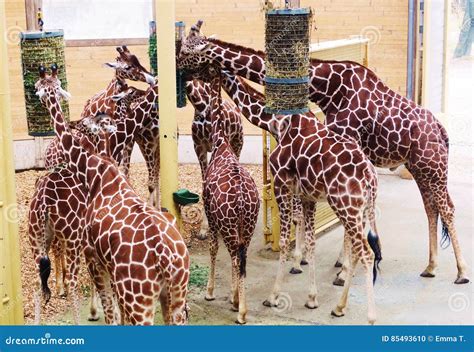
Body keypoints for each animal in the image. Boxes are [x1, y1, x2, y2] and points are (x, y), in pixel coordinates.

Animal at [36, 64, 190, 326]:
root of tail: (167, 259)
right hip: (176, 295)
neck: (94, 172)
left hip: (140, 299)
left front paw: (93, 311)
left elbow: (111, 314)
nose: (74, 122)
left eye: (45, 87)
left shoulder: (94, 258)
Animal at [177, 19, 470, 284]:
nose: (178, 71)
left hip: (433, 166)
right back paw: (430, 266)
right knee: (431, 208)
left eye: (188, 52)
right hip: (418, 167)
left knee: (447, 207)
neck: (327, 88)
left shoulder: (346, 140)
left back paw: (461, 272)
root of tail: (442, 132)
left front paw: (340, 270)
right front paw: (338, 263)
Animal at [215, 70, 382, 326]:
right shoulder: (307, 196)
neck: (275, 122)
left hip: (346, 206)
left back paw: (370, 316)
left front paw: (273, 297)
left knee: (366, 252)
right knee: (358, 249)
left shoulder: (281, 184)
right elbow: (311, 242)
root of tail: (371, 178)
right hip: (362, 209)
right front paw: (312, 298)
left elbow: (284, 241)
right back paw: (338, 307)